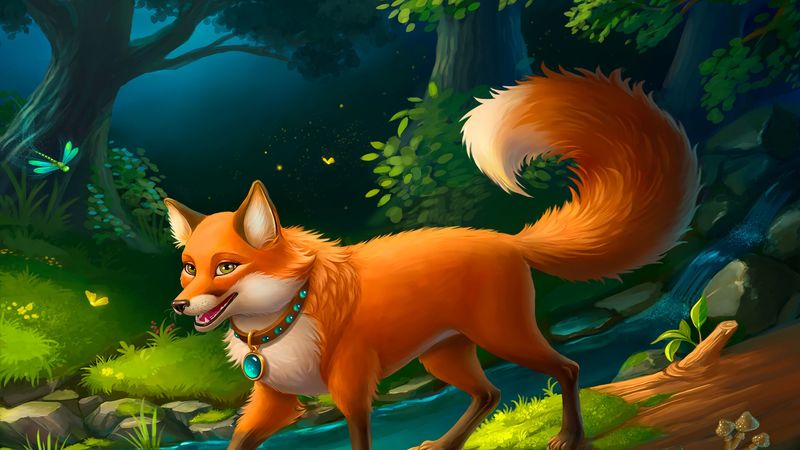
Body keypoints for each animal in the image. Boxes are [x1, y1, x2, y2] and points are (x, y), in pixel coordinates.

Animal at [164, 68, 699, 450]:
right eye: (189, 268)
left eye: (226, 267)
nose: (178, 306)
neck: (288, 316)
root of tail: (509, 240)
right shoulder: (275, 402)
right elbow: (239, 440)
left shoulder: (352, 391)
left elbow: (359, 439)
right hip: (445, 357)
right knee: (491, 393)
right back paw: (444, 445)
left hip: (503, 337)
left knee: (566, 368)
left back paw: (570, 437)